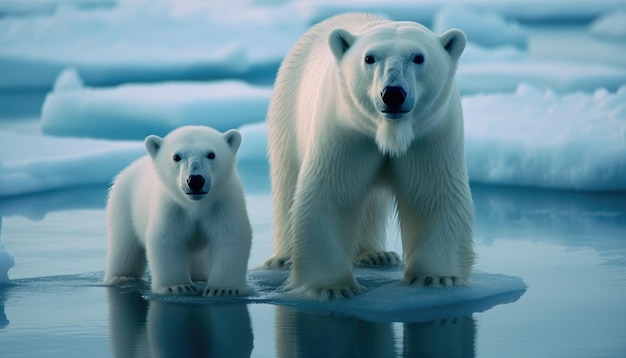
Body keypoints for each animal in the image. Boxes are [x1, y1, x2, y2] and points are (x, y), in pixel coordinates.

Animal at [104, 126, 251, 296]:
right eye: (176, 156)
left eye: (211, 154)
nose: (195, 180)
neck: (195, 205)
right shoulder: (171, 207)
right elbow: (167, 239)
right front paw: (177, 287)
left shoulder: (223, 202)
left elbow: (229, 236)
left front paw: (223, 289)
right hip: (123, 204)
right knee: (124, 244)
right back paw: (121, 277)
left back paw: (200, 276)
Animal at [262, 12, 472, 300]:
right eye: (369, 58)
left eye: (418, 57)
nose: (393, 93)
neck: (389, 131)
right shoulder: (345, 131)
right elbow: (332, 193)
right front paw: (331, 287)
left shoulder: (431, 134)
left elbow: (433, 193)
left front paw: (435, 277)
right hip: (288, 108)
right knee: (287, 179)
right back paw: (282, 259)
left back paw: (376, 254)